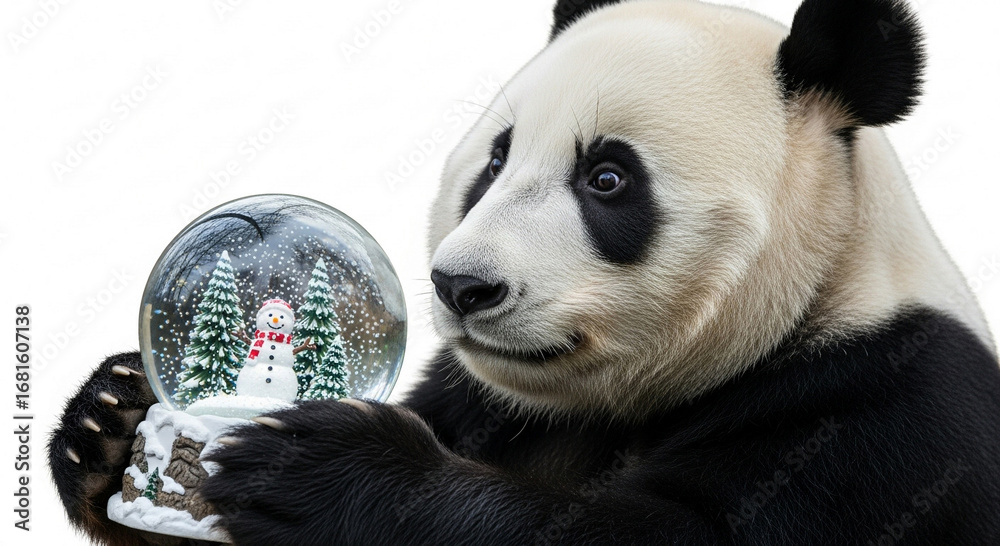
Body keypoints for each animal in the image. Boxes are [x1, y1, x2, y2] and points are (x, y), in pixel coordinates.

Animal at [49, 0, 1000, 544]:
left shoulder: (879, 422)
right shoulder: (485, 400)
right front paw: (108, 419)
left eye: (607, 178)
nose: (463, 287)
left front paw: (318, 469)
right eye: (496, 162)